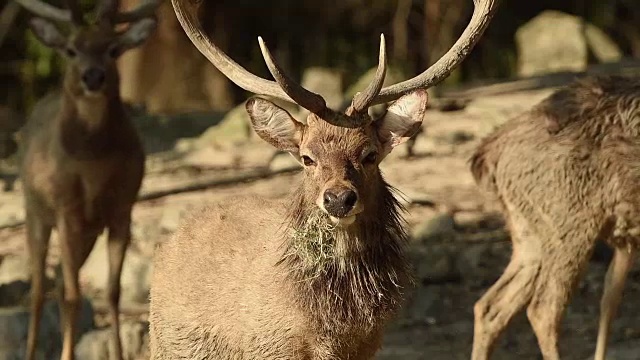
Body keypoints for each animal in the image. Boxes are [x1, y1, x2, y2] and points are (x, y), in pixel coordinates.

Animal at [13, 0, 160, 358]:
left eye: (113, 49)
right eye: (71, 49)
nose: (93, 76)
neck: (93, 166)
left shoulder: (123, 208)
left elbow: (112, 293)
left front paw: (119, 353)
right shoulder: (66, 208)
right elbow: (74, 296)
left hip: (87, 231)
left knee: (58, 281)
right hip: (35, 210)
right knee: (39, 288)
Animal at [149, 0, 500, 358]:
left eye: (370, 154)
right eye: (307, 158)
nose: (339, 199)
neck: (333, 327)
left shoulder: (368, 346)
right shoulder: (271, 345)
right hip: (170, 345)